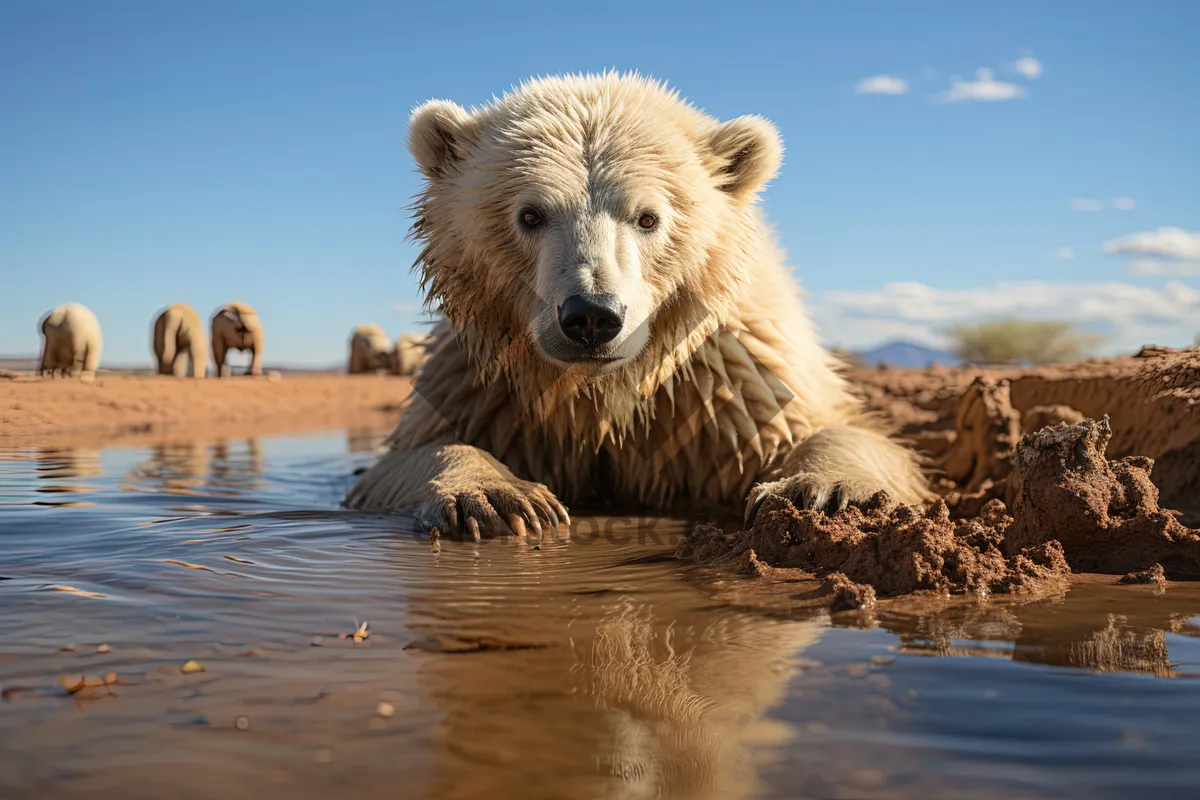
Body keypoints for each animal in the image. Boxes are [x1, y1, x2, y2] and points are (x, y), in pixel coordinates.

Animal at [348, 73, 926, 537]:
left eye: (648, 217)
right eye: (530, 214)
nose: (591, 317)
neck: (604, 392)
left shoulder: (730, 380)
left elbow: (839, 430)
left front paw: (818, 490)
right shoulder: (484, 383)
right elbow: (411, 454)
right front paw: (497, 496)